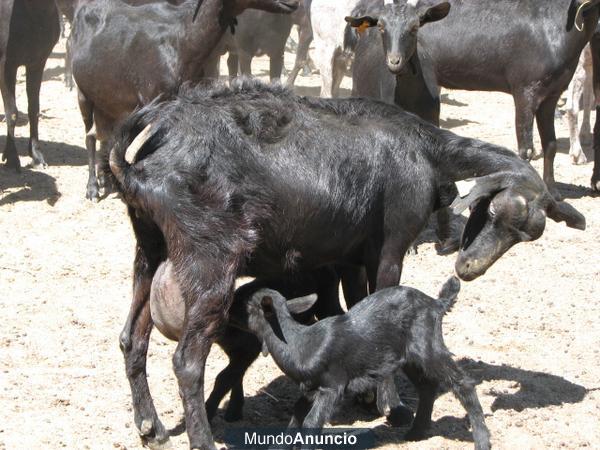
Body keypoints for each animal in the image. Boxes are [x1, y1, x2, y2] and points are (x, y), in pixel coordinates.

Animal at [0, 0, 59, 171]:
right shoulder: (6, 65)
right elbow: (12, 112)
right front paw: (12, 157)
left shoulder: (37, 63)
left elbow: (34, 109)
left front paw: (36, 155)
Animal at [69, 0, 298, 200]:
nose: (294, 2)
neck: (184, 39)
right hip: (83, 93)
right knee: (90, 136)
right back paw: (92, 189)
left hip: (108, 101)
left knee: (104, 135)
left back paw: (106, 181)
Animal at [244, 278, 492, 450]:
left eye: (249, 307)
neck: (299, 342)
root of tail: (436, 304)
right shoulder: (310, 388)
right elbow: (295, 418)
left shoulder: (331, 386)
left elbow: (311, 422)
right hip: (408, 357)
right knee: (427, 387)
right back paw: (416, 433)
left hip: (428, 346)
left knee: (462, 383)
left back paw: (482, 441)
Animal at [344, 0, 600, 199]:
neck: (555, 27)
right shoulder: (526, 90)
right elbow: (526, 148)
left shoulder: (552, 94)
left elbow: (551, 144)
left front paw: (553, 191)